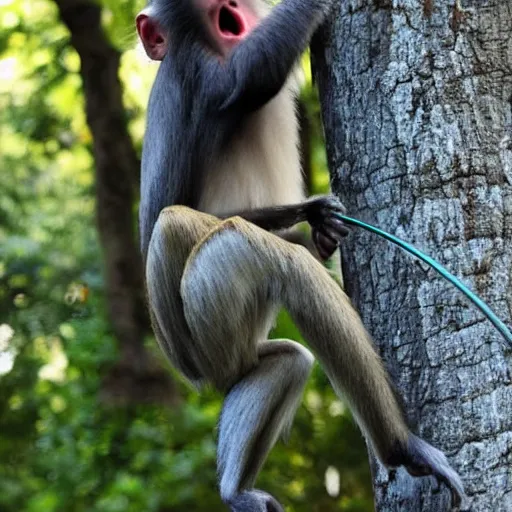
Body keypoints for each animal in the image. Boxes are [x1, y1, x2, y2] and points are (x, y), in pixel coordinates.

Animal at [136, 1, 464, 512]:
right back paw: (401, 446)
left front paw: (319, 219)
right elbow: (244, 79)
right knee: (254, 257)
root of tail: (195, 374)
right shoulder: (196, 76)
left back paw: (235, 488)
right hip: (207, 316)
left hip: (233, 346)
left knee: (280, 363)